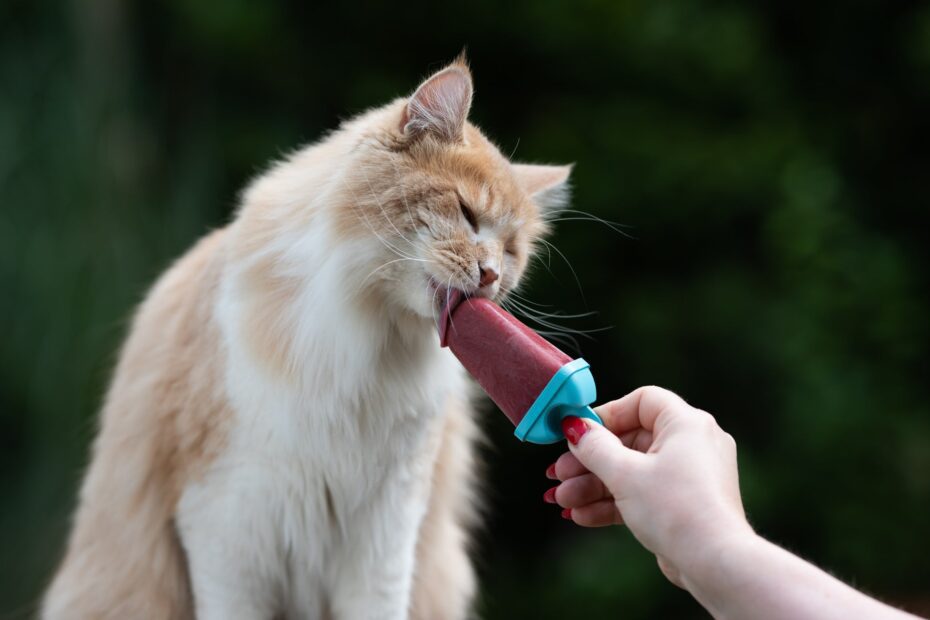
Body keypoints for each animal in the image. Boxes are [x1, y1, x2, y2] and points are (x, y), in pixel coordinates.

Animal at [43, 58, 572, 620]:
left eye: (511, 251)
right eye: (467, 214)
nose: (490, 275)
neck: (370, 339)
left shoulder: (387, 530)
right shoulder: (226, 524)